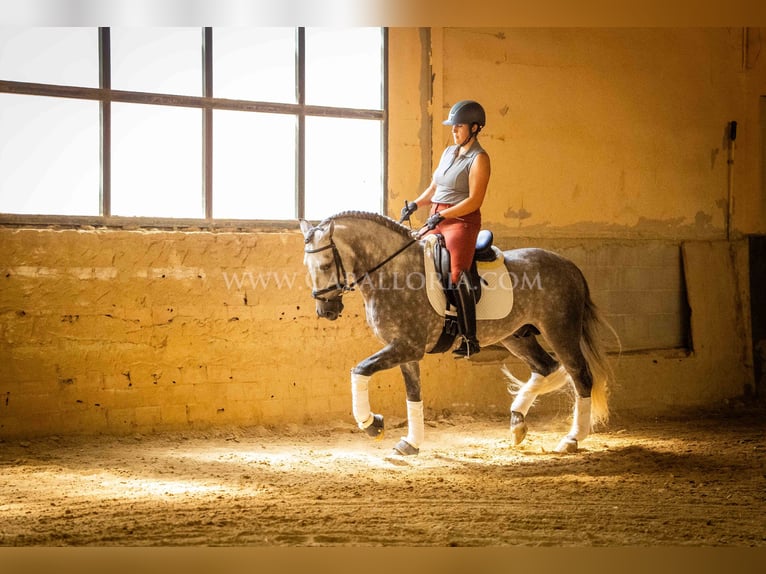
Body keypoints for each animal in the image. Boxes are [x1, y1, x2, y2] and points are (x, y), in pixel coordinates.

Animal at [300, 212, 616, 460]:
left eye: (325, 265)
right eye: (308, 267)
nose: (325, 310)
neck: (393, 272)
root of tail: (569, 265)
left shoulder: (407, 347)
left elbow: (359, 370)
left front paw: (371, 424)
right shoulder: (405, 350)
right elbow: (413, 396)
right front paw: (410, 443)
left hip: (560, 331)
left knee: (580, 376)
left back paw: (571, 439)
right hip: (516, 335)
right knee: (546, 367)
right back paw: (517, 422)